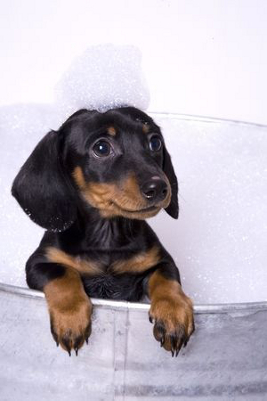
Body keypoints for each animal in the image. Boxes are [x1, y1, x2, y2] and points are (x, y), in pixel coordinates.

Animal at [11, 107, 195, 356]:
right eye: (101, 148)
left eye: (155, 142)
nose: (159, 187)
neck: (107, 237)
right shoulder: (39, 263)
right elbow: (63, 273)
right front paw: (71, 318)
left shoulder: (160, 261)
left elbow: (166, 279)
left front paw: (174, 313)